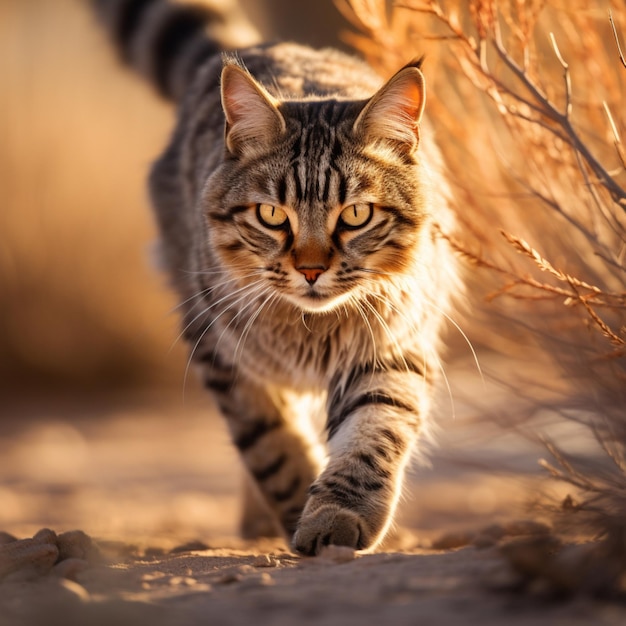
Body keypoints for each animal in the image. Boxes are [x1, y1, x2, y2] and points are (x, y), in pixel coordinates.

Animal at [92, 0, 456, 556]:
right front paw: (296, 508)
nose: (311, 269)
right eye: (270, 215)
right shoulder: (220, 351)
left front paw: (335, 514)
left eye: (356, 215)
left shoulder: (393, 345)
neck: (309, 329)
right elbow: (272, 446)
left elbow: (371, 434)